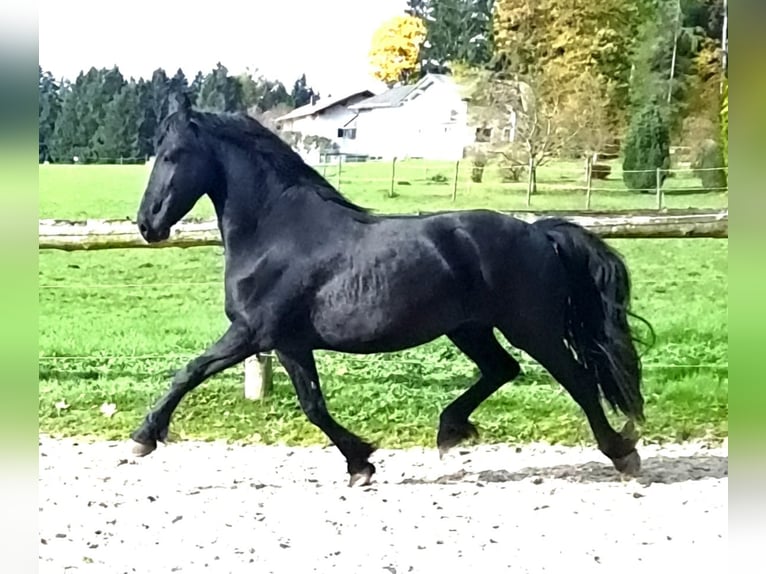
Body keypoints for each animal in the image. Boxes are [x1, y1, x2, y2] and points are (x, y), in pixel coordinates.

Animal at [131, 91, 654, 486]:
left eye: (172, 154)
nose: (147, 224)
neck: (275, 232)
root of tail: (539, 232)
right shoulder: (290, 343)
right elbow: (314, 405)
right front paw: (361, 463)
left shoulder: (254, 333)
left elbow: (190, 372)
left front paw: (143, 438)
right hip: (471, 329)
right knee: (502, 370)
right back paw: (451, 430)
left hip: (532, 328)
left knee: (578, 380)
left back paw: (621, 453)